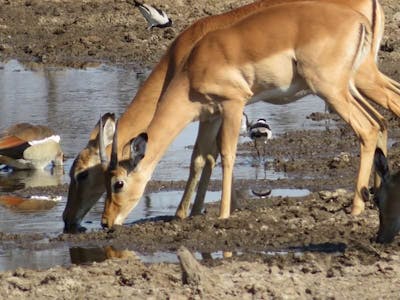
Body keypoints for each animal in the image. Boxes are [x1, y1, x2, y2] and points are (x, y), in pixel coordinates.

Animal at [62, 0, 396, 230]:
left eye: (83, 174)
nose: (105, 221)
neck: (187, 63)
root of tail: (359, 18)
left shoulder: (233, 104)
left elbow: (225, 155)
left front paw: (219, 214)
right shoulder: (209, 114)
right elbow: (200, 158)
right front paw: (185, 213)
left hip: (336, 88)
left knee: (368, 127)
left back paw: (355, 207)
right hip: (349, 87)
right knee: (380, 121)